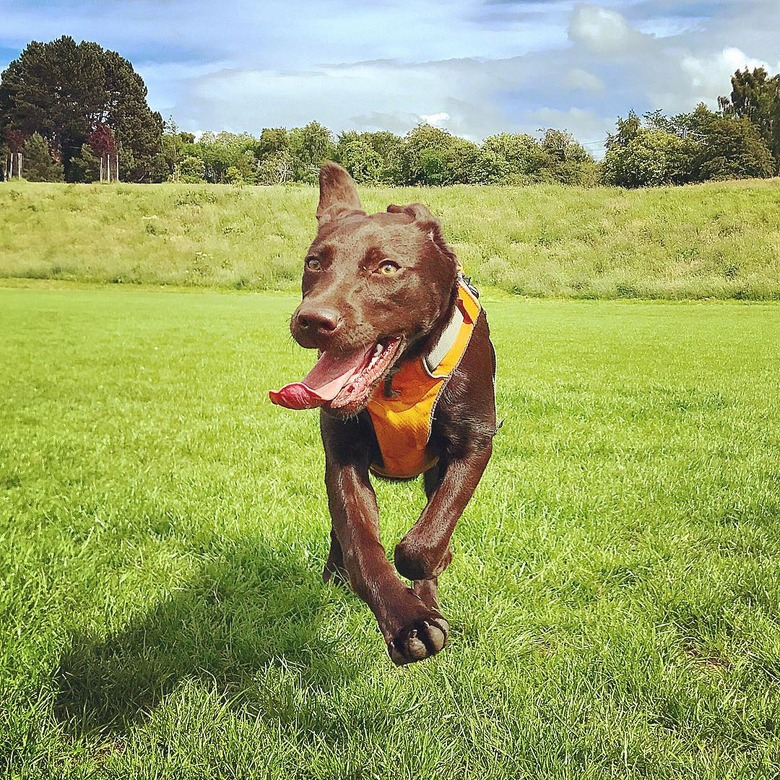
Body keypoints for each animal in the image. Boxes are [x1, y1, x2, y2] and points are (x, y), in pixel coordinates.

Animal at [272, 165, 496, 664]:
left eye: (387, 267)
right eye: (314, 263)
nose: (312, 320)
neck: (399, 378)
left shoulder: (474, 444)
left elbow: (424, 542)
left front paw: (431, 575)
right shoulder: (342, 458)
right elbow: (361, 543)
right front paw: (407, 622)